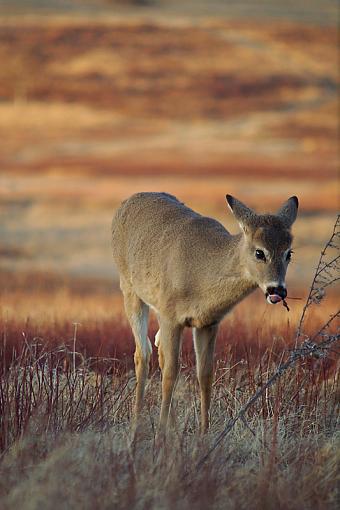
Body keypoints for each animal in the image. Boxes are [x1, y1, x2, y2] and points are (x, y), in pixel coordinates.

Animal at [111, 191, 298, 434]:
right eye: (259, 252)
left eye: (289, 253)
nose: (278, 290)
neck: (200, 277)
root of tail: (127, 202)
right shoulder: (170, 316)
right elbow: (171, 373)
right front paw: (160, 435)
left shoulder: (208, 323)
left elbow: (205, 374)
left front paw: (203, 434)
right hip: (129, 288)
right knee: (142, 354)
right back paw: (136, 431)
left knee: (158, 350)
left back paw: (173, 431)